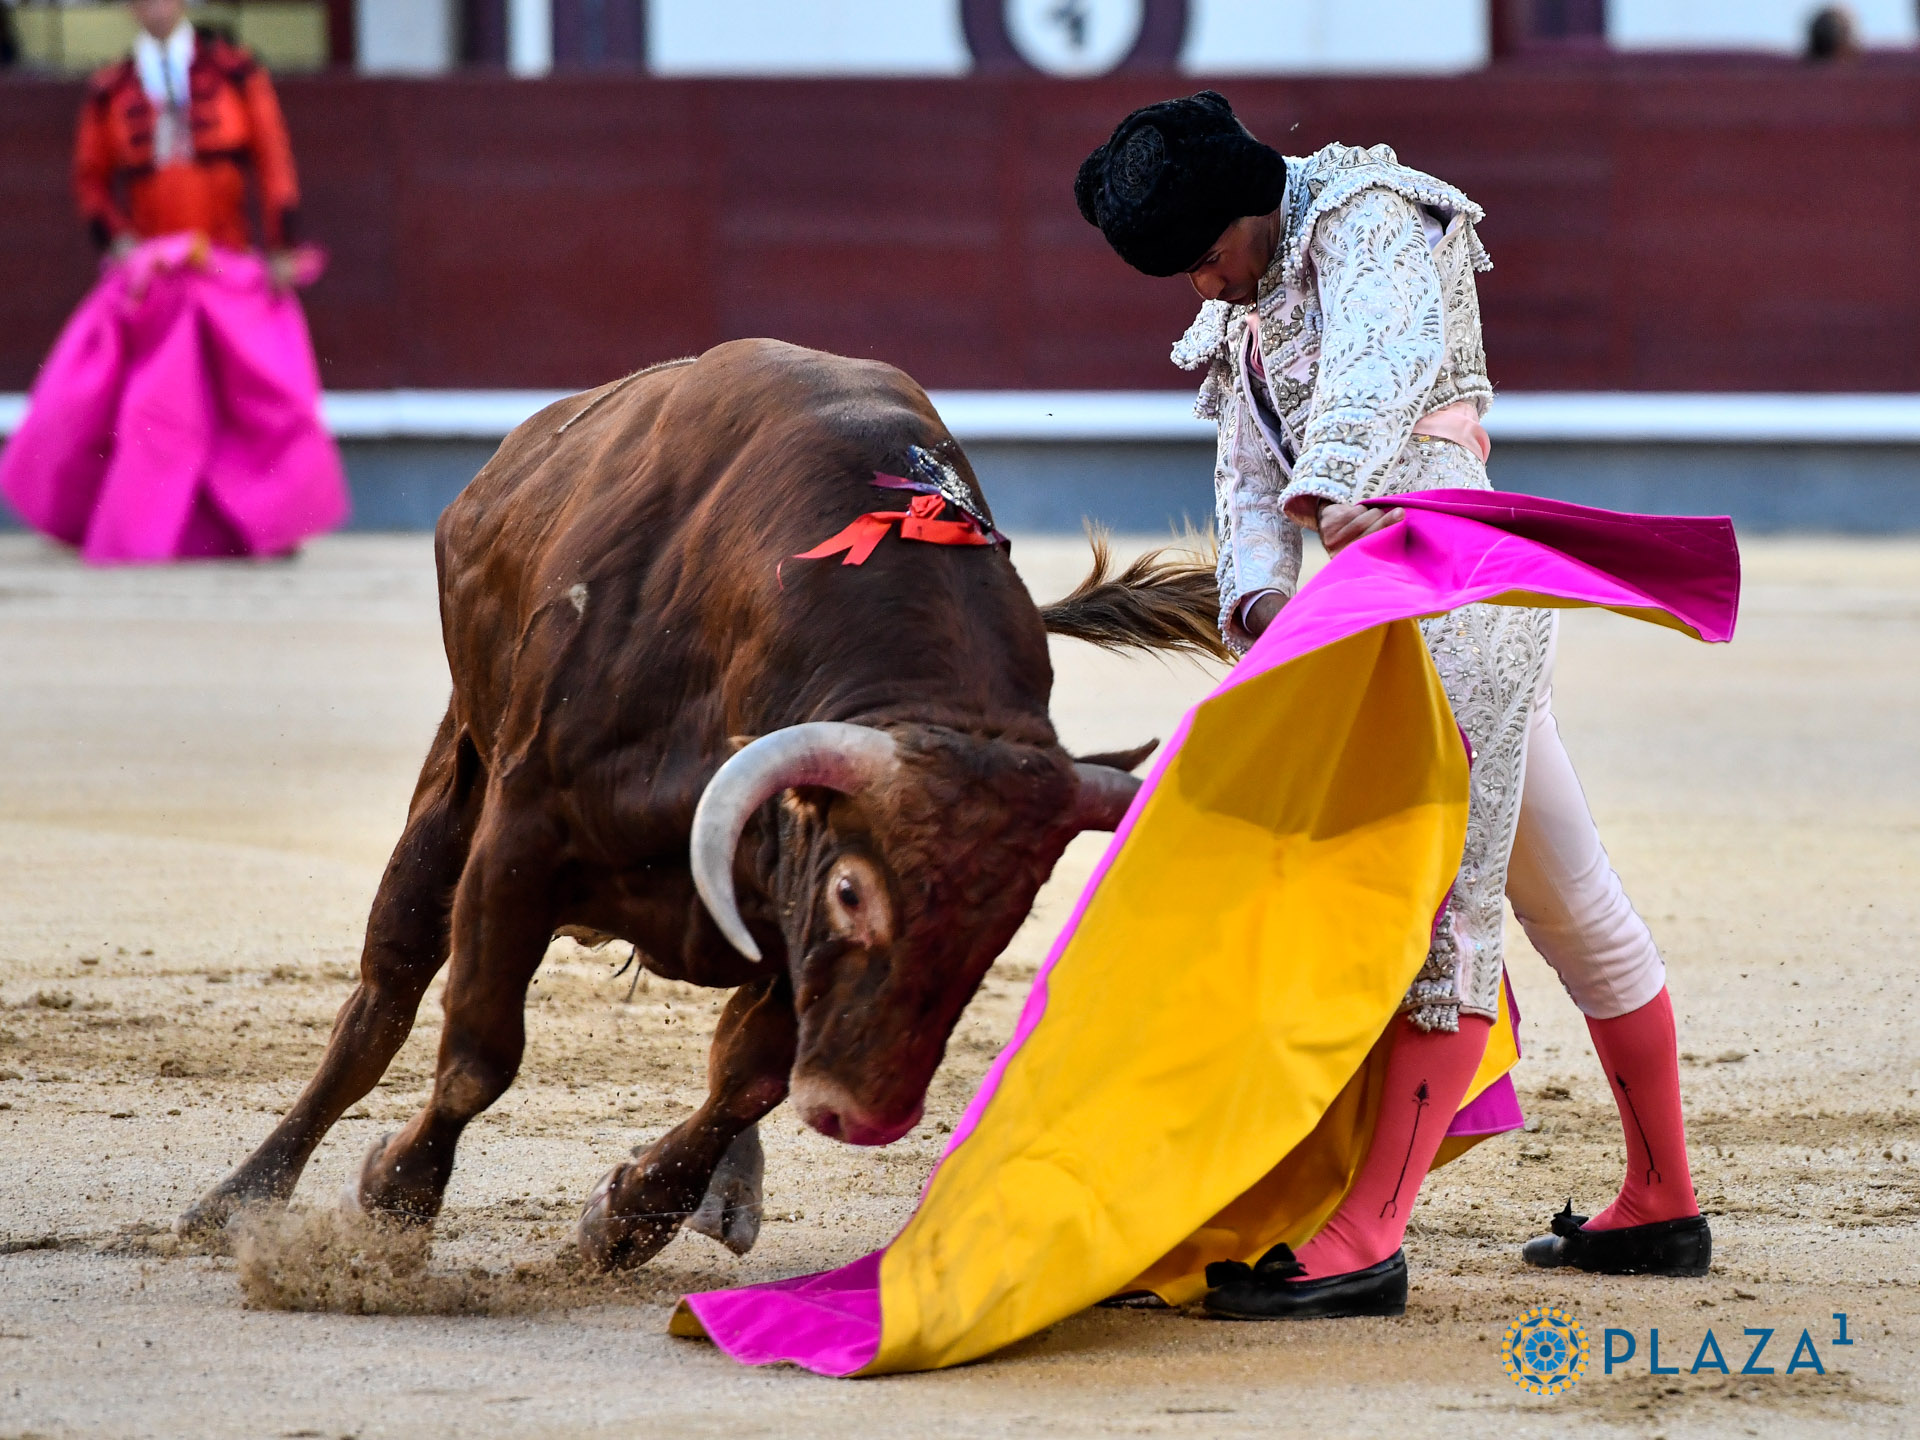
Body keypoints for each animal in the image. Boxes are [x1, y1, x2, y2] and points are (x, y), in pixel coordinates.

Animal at [178, 339, 1223, 1270]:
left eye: (1005, 922)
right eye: (852, 891)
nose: (862, 1111)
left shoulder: (783, 911)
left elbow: (748, 1078)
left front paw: (629, 1217)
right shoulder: (523, 831)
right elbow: (481, 1047)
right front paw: (394, 1205)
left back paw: (728, 1193)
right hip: (455, 786)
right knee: (382, 998)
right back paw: (236, 1200)